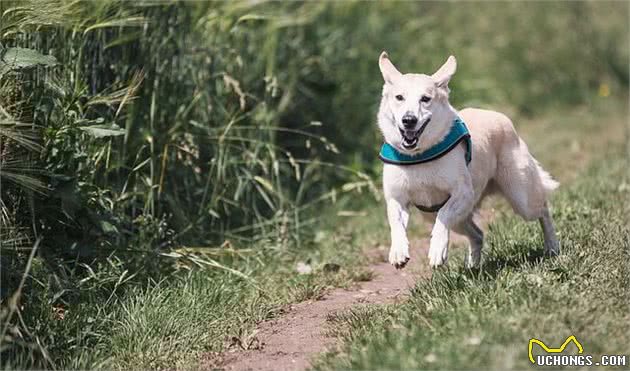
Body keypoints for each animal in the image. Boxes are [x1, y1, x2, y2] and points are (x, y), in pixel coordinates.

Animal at [378, 50, 560, 268]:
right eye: (399, 97)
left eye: (425, 99)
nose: (409, 120)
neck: (419, 156)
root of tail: (500, 117)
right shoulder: (396, 198)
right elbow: (395, 222)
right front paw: (398, 251)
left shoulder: (463, 193)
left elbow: (444, 215)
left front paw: (437, 250)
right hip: (441, 215)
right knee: (478, 234)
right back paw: (473, 266)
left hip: (521, 197)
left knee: (543, 209)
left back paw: (553, 247)